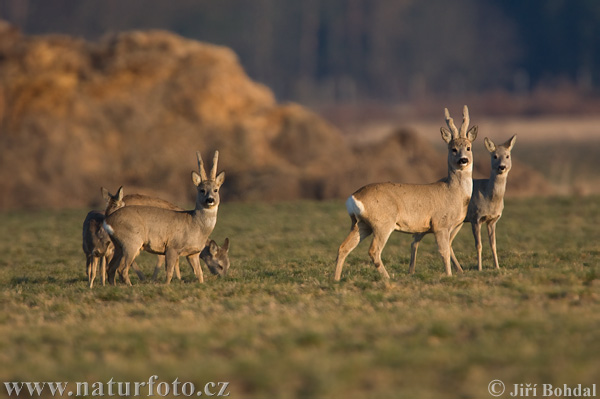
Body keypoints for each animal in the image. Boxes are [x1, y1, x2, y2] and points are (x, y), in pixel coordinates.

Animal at [104, 152, 226, 286]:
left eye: (216, 189)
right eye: (202, 190)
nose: (210, 200)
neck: (195, 225)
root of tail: (108, 220)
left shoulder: (193, 253)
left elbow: (200, 274)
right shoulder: (172, 246)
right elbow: (169, 273)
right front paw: (167, 285)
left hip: (118, 245)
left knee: (111, 268)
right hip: (131, 241)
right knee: (122, 268)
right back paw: (131, 286)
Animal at [332, 106, 478, 282]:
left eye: (468, 147)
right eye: (453, 149)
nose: (463, 160)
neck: (453, 193)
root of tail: (353, 198)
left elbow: (448, 249)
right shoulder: (439, 224)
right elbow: (444, 252)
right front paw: (449, 276)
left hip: (361, 224)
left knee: (343, 247)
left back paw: (336, 279)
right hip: (382, 223)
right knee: (373, 251)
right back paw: (388, 278)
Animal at [450, 135, 516, 272]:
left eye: (507, 156)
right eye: (494, 156)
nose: (502, 167)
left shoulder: (492, 220)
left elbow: (493, 244)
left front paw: (497, 267)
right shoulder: (475, 218)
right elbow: (478, 245)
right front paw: (479, 268)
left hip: (459, 222)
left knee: (449, 241)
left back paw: (459, 269)